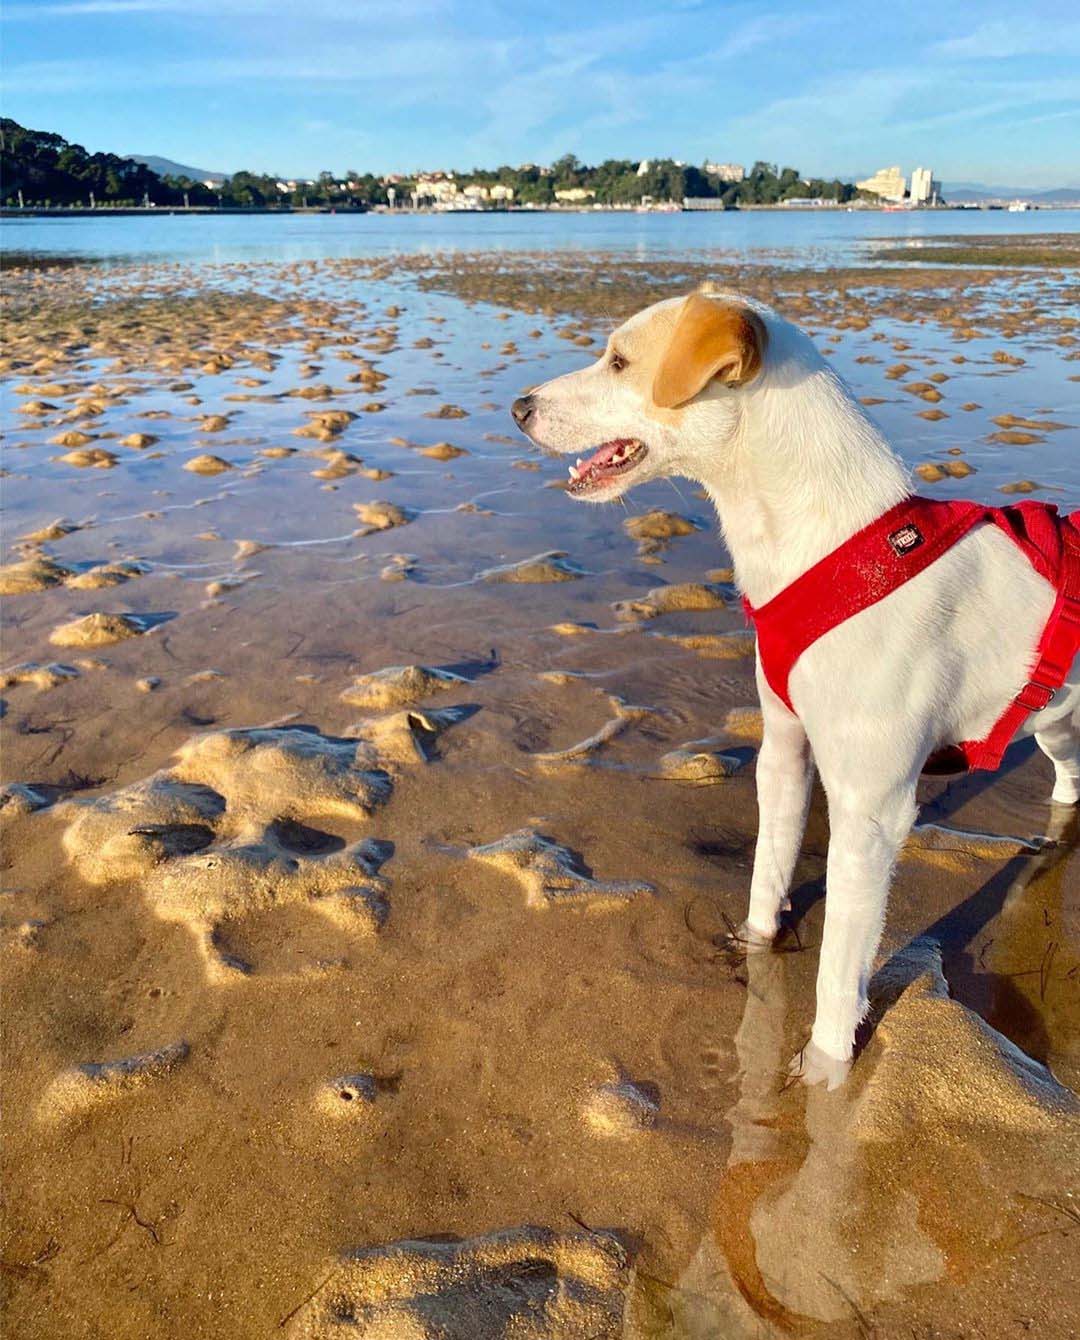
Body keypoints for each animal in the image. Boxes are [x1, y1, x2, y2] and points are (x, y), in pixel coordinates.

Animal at [514, 285, 1080, 1088]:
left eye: (619, 361)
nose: (518, 407)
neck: (819, 544)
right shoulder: (783, 750)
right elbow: (768, 870)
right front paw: (752, 950)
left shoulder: (873, 812)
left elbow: (842, 962)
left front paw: (824, 1071)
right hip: (1056, 719)